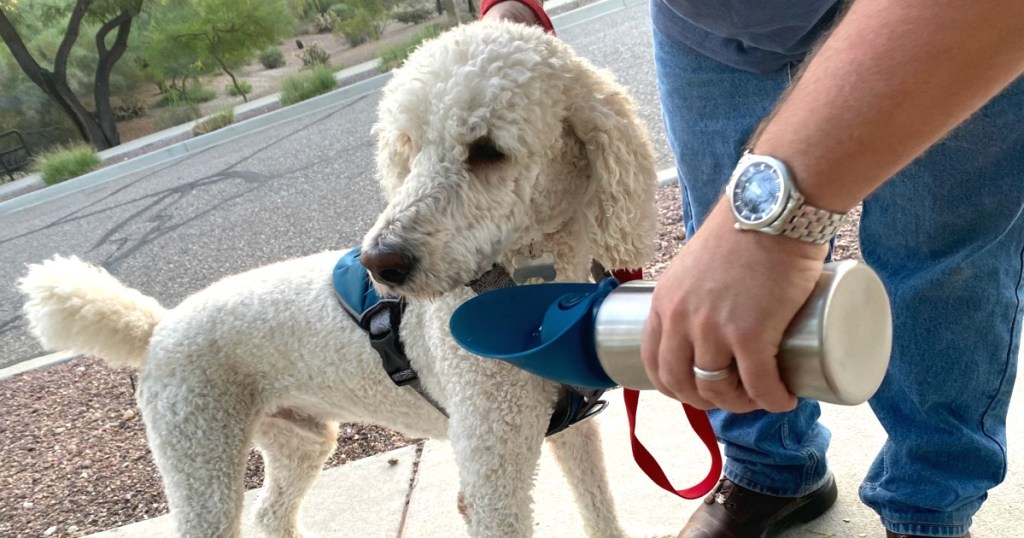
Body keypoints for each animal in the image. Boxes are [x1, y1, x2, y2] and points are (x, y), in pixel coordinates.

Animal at [22, 21, 655, 536]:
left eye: (487, 150)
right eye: (408, 147)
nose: (381, 262)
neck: (521, 287)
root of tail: (156, 327)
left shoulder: (570, 432)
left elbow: (600, 510)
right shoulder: (491, 474)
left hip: (298, 440)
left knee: (271, 514)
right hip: (200, 457)